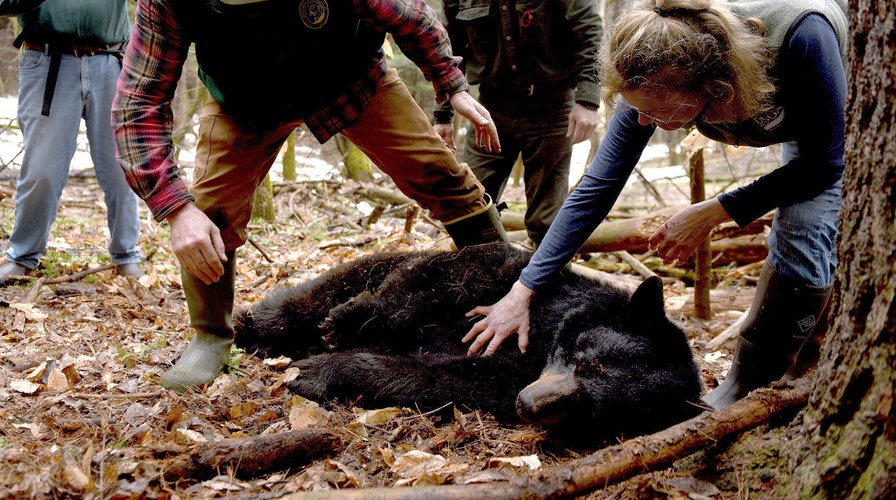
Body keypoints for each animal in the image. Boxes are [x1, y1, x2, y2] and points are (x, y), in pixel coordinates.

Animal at [233, 242, 708, 442]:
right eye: (582, 358)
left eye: (600, 409)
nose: (528, 404)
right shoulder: (501, 282)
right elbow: (434, 283)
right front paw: (345, 325)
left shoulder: (499, 379)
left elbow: (438, 378)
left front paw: (322, 370)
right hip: (369, 265)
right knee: (312, 297)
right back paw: (252, 326)